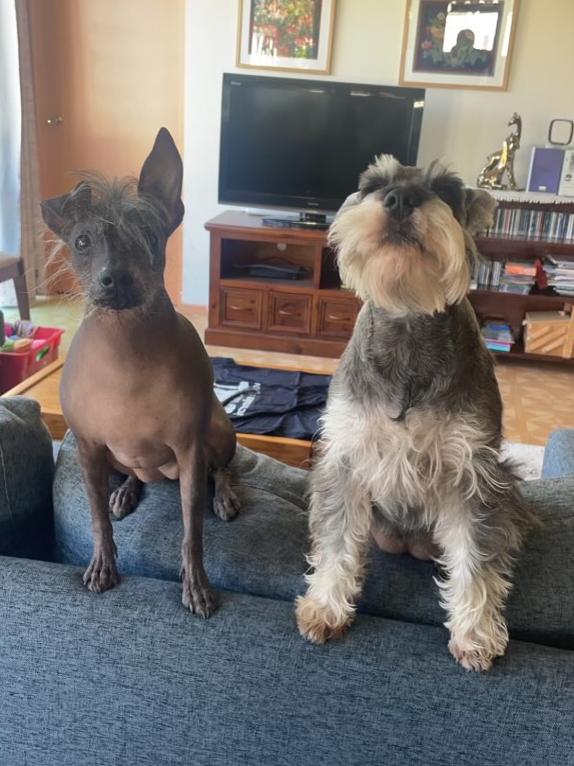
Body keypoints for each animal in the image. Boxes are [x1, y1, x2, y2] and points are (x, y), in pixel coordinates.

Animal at [296, 156, 536, 672]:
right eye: (373, 185)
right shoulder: (345, 459)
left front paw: (475, 633)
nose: (401, 199)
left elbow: (475, 558)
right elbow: (337, 540)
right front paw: (325, 607)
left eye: (446, 189)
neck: (407, 322)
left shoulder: (474, 471)